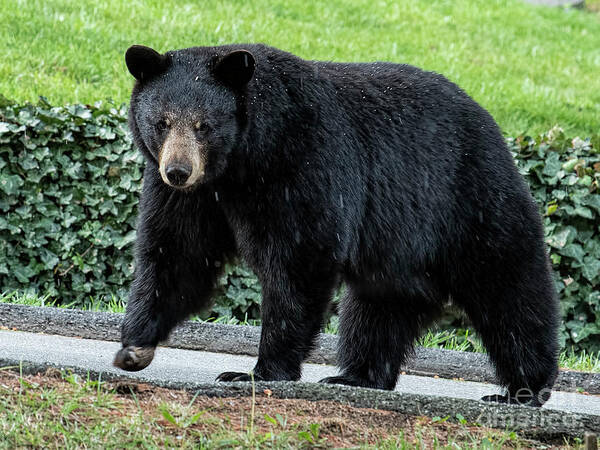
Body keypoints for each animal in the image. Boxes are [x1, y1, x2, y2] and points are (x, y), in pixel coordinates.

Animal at [115, 44, 560, 406]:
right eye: (161, 122)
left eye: (204, 125)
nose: (178, 170)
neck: (242, 164)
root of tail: (492, 124)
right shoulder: (192, 197)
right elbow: (178, 254)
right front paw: (135, 347)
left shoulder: (304, 162)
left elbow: (299, 259)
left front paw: (258, 372)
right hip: (398, 245)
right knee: (379, 307)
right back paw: (356, 376)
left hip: (468, 200)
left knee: (509, 289)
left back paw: (522, 389)